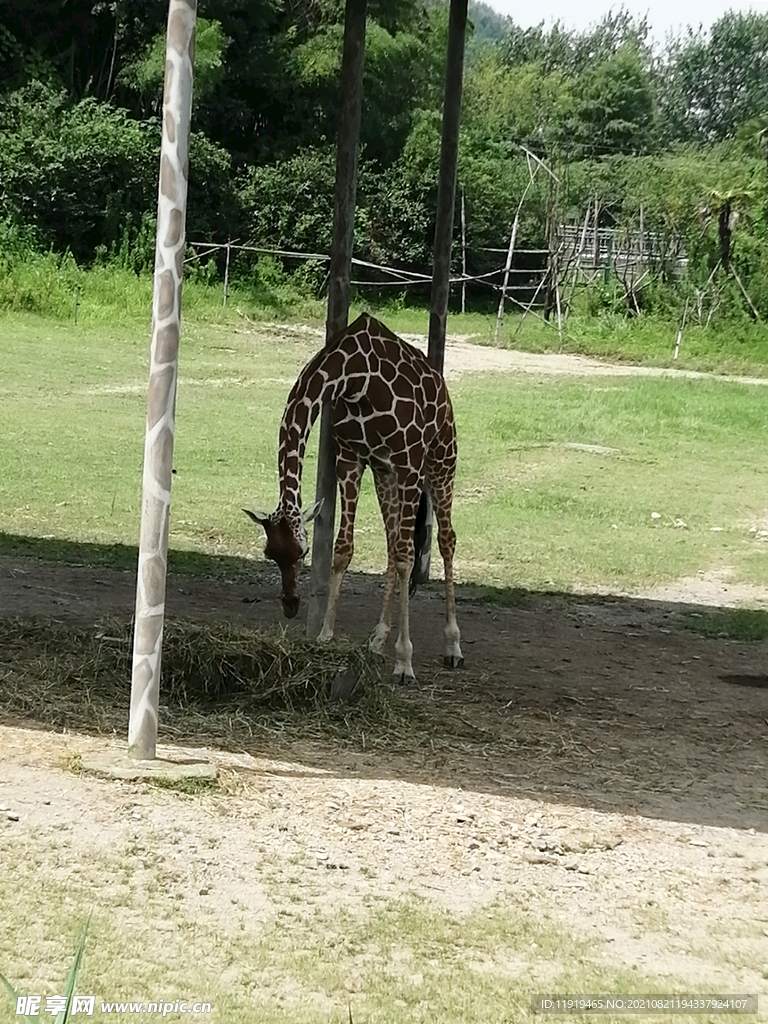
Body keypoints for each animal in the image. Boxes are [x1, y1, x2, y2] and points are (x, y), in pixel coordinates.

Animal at [244, 311, 462, 679]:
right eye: (270, 553)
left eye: (303, 552)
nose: (290, 605)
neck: (356, 377)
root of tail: (441, 384)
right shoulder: (352, 457)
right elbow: (344, 548)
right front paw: (325, 635)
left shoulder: (407, 461)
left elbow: (407, 556)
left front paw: (404, 661)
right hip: (385, 473)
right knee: (392, 543)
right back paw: (377, 640)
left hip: (440, 457)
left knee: (445, 539)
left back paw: (453, 646)